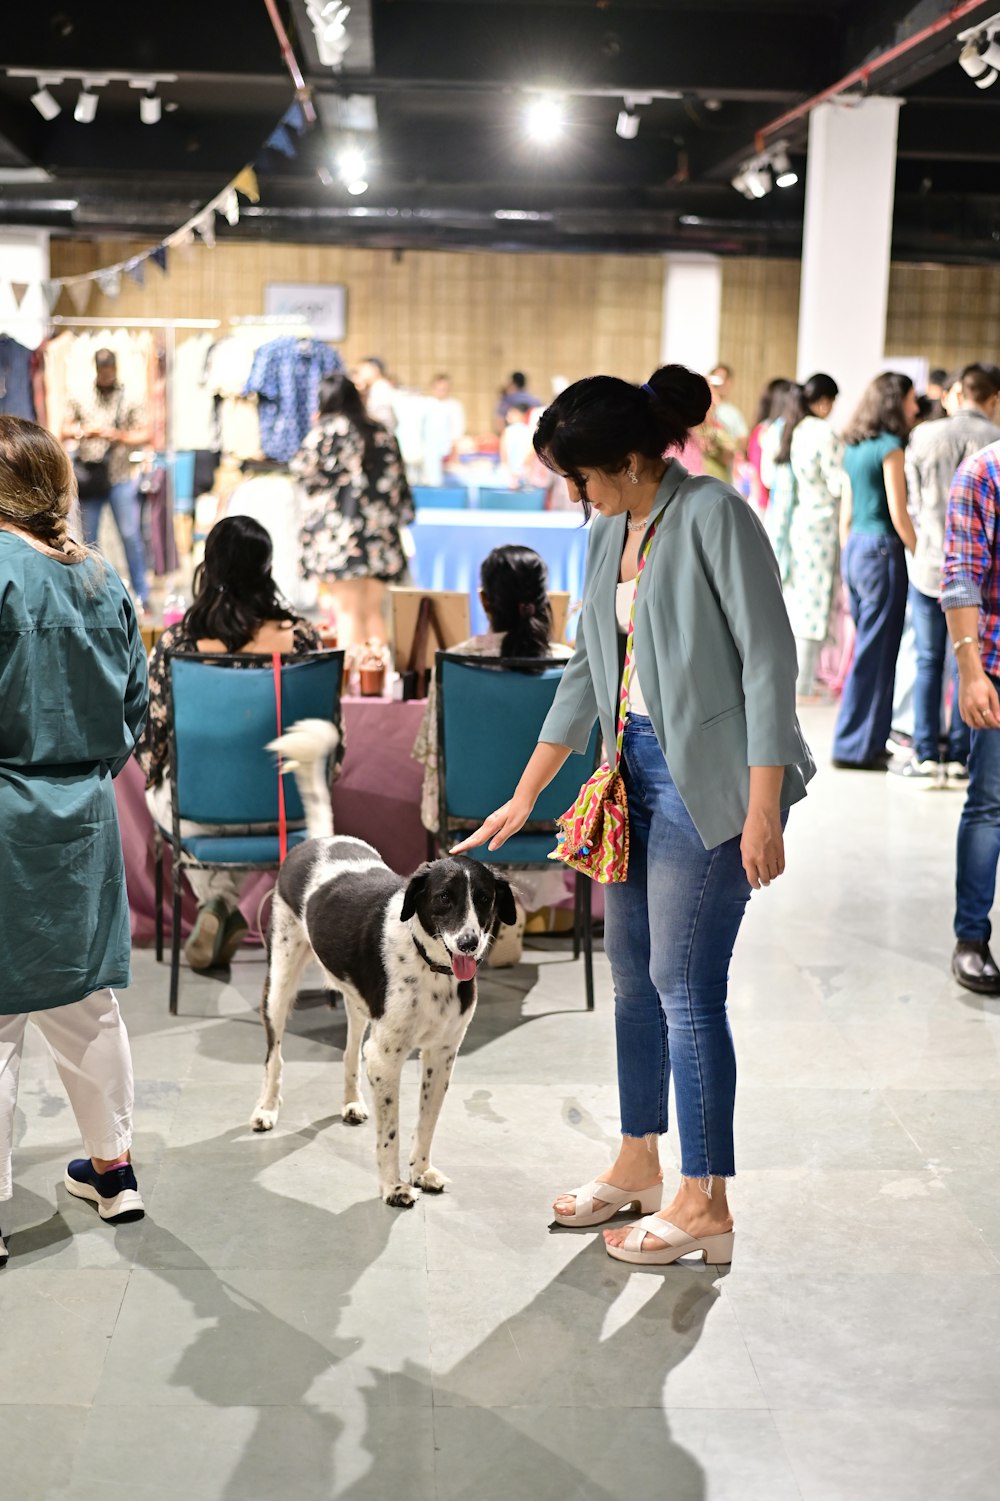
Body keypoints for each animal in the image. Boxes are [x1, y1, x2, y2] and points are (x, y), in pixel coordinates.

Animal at [247, 717, 513, 1206]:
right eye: (443, 899)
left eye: (484, 900)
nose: (469, 943)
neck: (431, 967)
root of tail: (319, 841)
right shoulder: (387, 1059)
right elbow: (391, 1132)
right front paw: (393, 1186)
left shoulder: (441, 1054)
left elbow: (425, 1124)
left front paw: (421, 1172)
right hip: (279, 983)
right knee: (274, 1057)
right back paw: (266, 1109)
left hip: (358, 1008)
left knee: (350, 1051)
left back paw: (352, 1103)